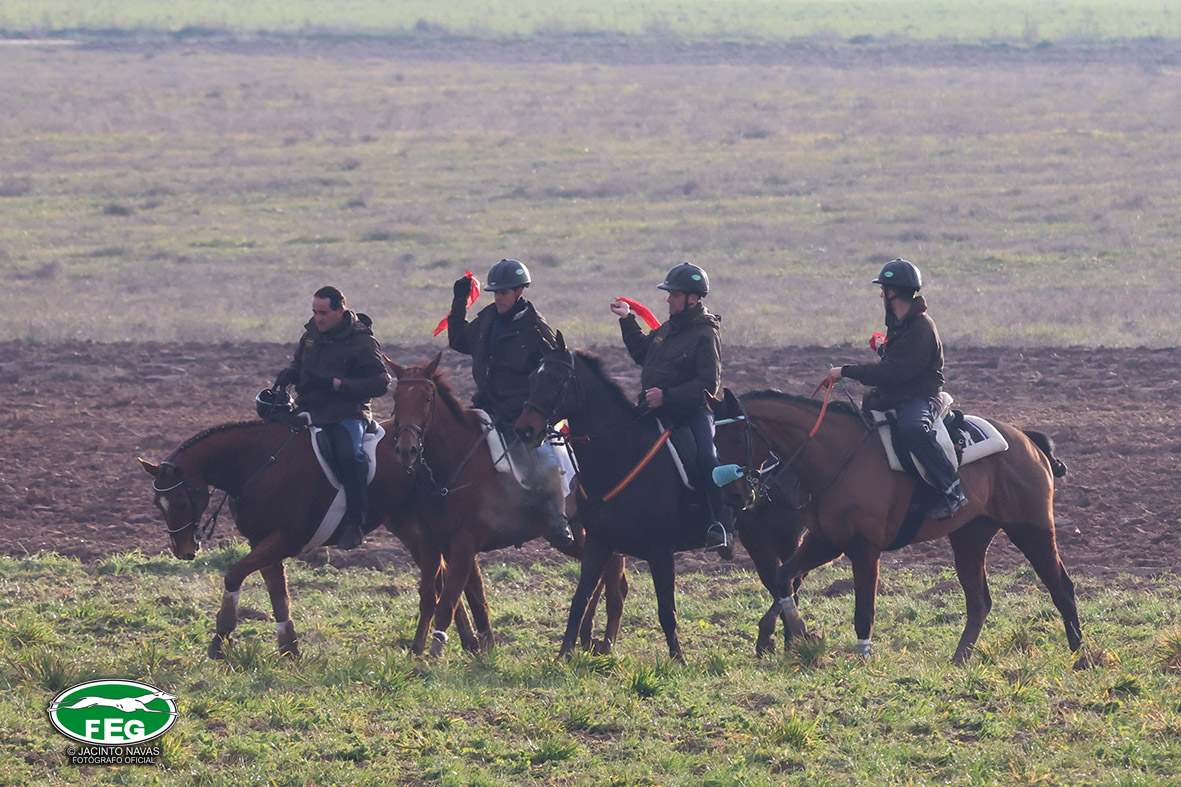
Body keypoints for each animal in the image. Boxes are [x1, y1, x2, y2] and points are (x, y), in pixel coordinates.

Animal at [139, 417, 493, 659]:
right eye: (157, 504)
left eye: (180, 502)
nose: (183, 550)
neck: (259, 464)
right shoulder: (262, 541)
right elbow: (278, 595)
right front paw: (289, 647)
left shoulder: (286, 538)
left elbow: (235, 574)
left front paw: (221, 636)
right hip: (409, 527)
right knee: (445, 577)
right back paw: (467, 641)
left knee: (450, 576)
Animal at [385, 353, 628, 657]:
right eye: (396, 397)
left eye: (427, 398)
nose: (406, 449)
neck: (454, 465)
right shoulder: (431, 541)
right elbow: (433, 596)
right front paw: (419, 649)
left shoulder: (464, 544)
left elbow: (448, 602)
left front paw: (434, 652)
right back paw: (588, 634)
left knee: (612, 574)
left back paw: (607, 640)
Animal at [514, 334, 729, 663]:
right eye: (530, 378)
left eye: (556, 379)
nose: (525, 429)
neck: (622, 453)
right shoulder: (598, 543)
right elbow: (580, 599)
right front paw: (564, 655)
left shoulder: (660, 550)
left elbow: (667, 610)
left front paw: (678, 659)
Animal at [711, 387, 1083, 664]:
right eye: (713, 440)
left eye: (735, 437)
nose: (732, 497)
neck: (834, 455)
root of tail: (1027, 440)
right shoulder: (825, 542)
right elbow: (784, 578)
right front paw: (801, 633)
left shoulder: (864, 550)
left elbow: (864, 611)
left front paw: (862, 657)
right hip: (970, 537)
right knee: (979, 602)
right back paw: (959, 659)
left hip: (1032, 528)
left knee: (1062, 587)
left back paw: (1081, 655)